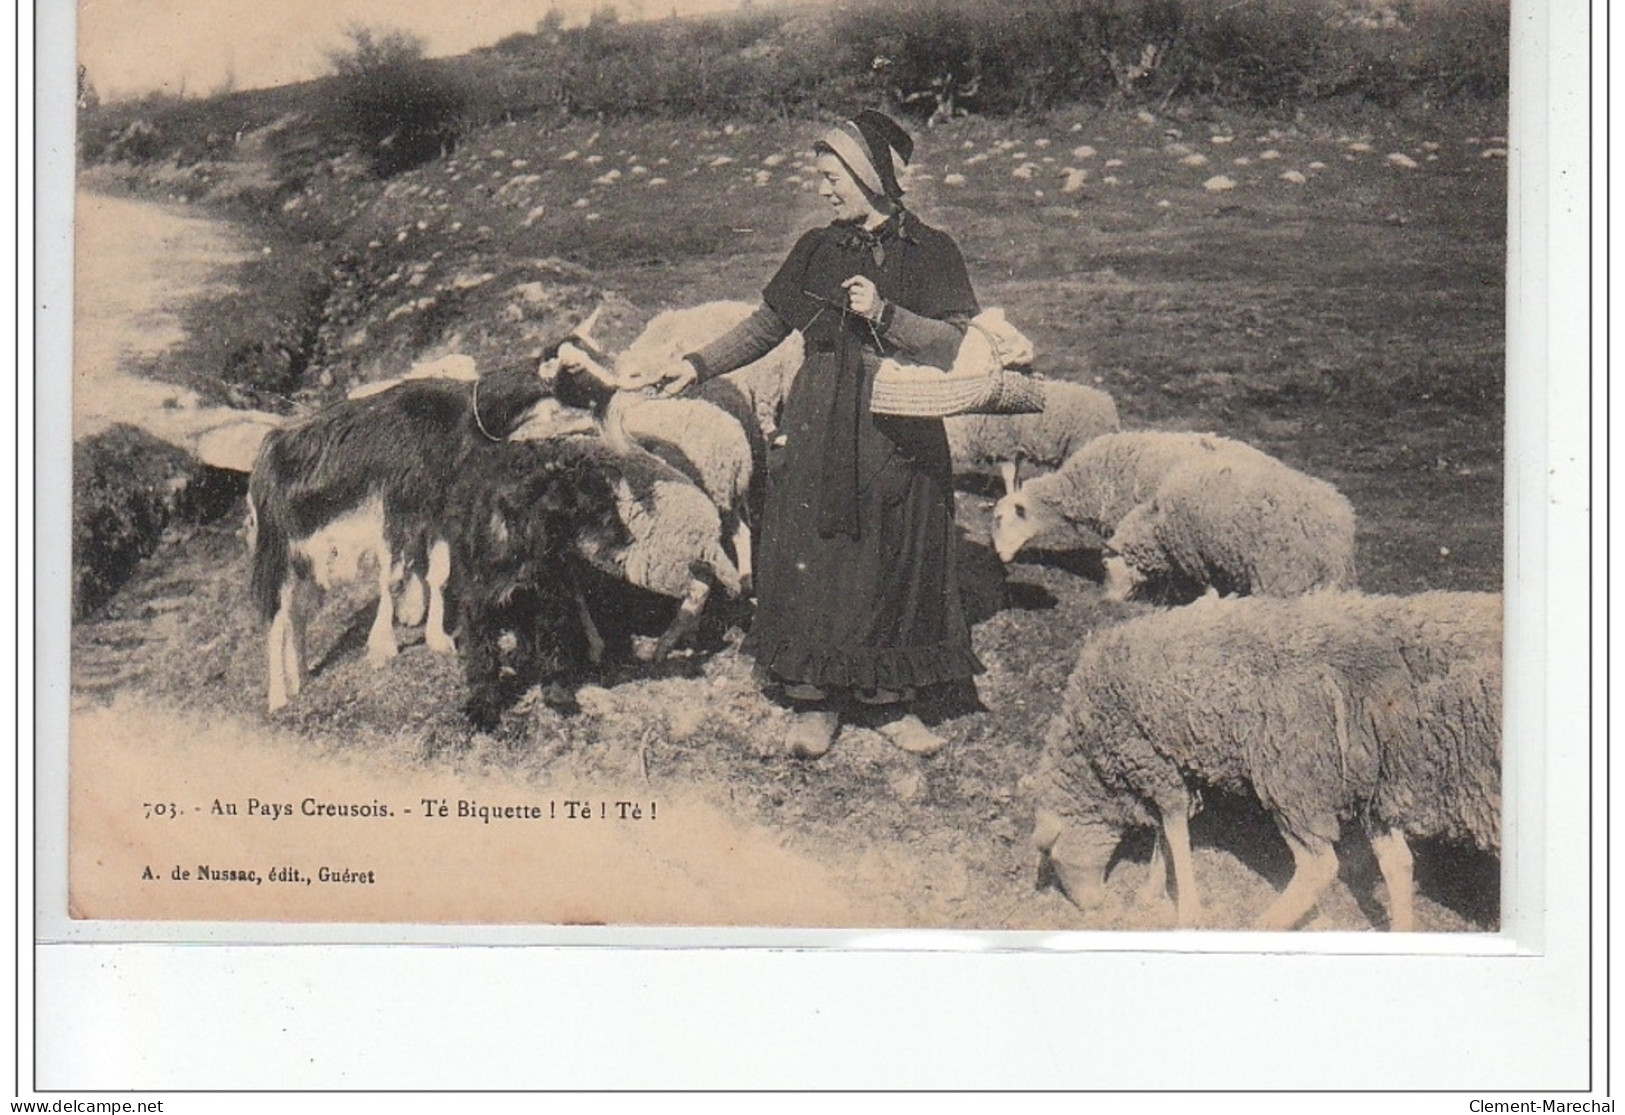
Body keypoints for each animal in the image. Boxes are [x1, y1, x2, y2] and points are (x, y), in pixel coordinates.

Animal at [942, 377, 1118, 497]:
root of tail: (1109, 407)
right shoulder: (1016, 446)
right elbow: (1016, 473)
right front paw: (1016, 491)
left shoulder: (1005, 445)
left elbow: (1008, 475)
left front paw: (1010, 495)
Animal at [1033, 594, 1501, 936]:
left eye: (1054, 859)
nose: (1092, 908)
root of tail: (1368, 676)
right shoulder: (1170, 765)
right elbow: (1165, 835)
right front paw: (1152, 891)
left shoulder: (1149, 759)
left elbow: (1174, 833)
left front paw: (1186, 909)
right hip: (1370, 782)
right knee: (1397, 860)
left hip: (1293, 778)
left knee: (1319, 866)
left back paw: (1265, 924)